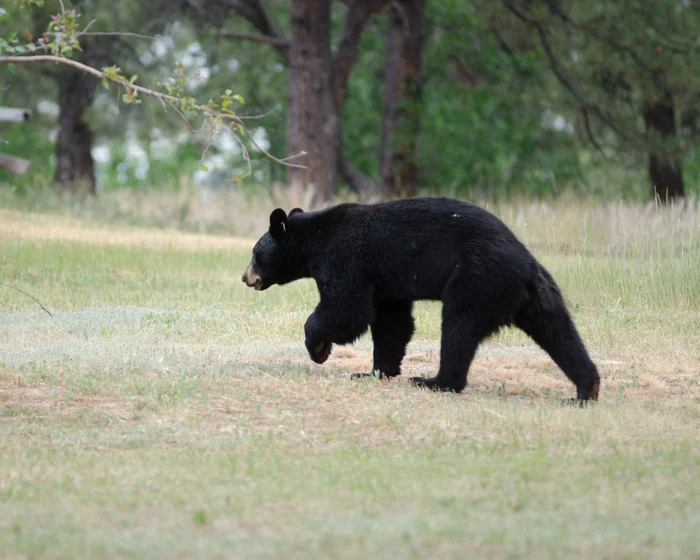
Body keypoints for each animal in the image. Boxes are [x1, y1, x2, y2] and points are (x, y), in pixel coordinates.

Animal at [241, 197, 600, 402]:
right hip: (537, 294)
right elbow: (392, 322)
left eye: (256, 253)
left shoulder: (347, 259)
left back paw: (435, 381)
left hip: (477, 280)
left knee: (458, 328)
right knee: (559, 333)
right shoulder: (385, 280)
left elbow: (347, 309)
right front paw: (374, 372)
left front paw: (318, 347)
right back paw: (586, 389)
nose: (246, 277)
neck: (315, 239)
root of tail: (526, 265)